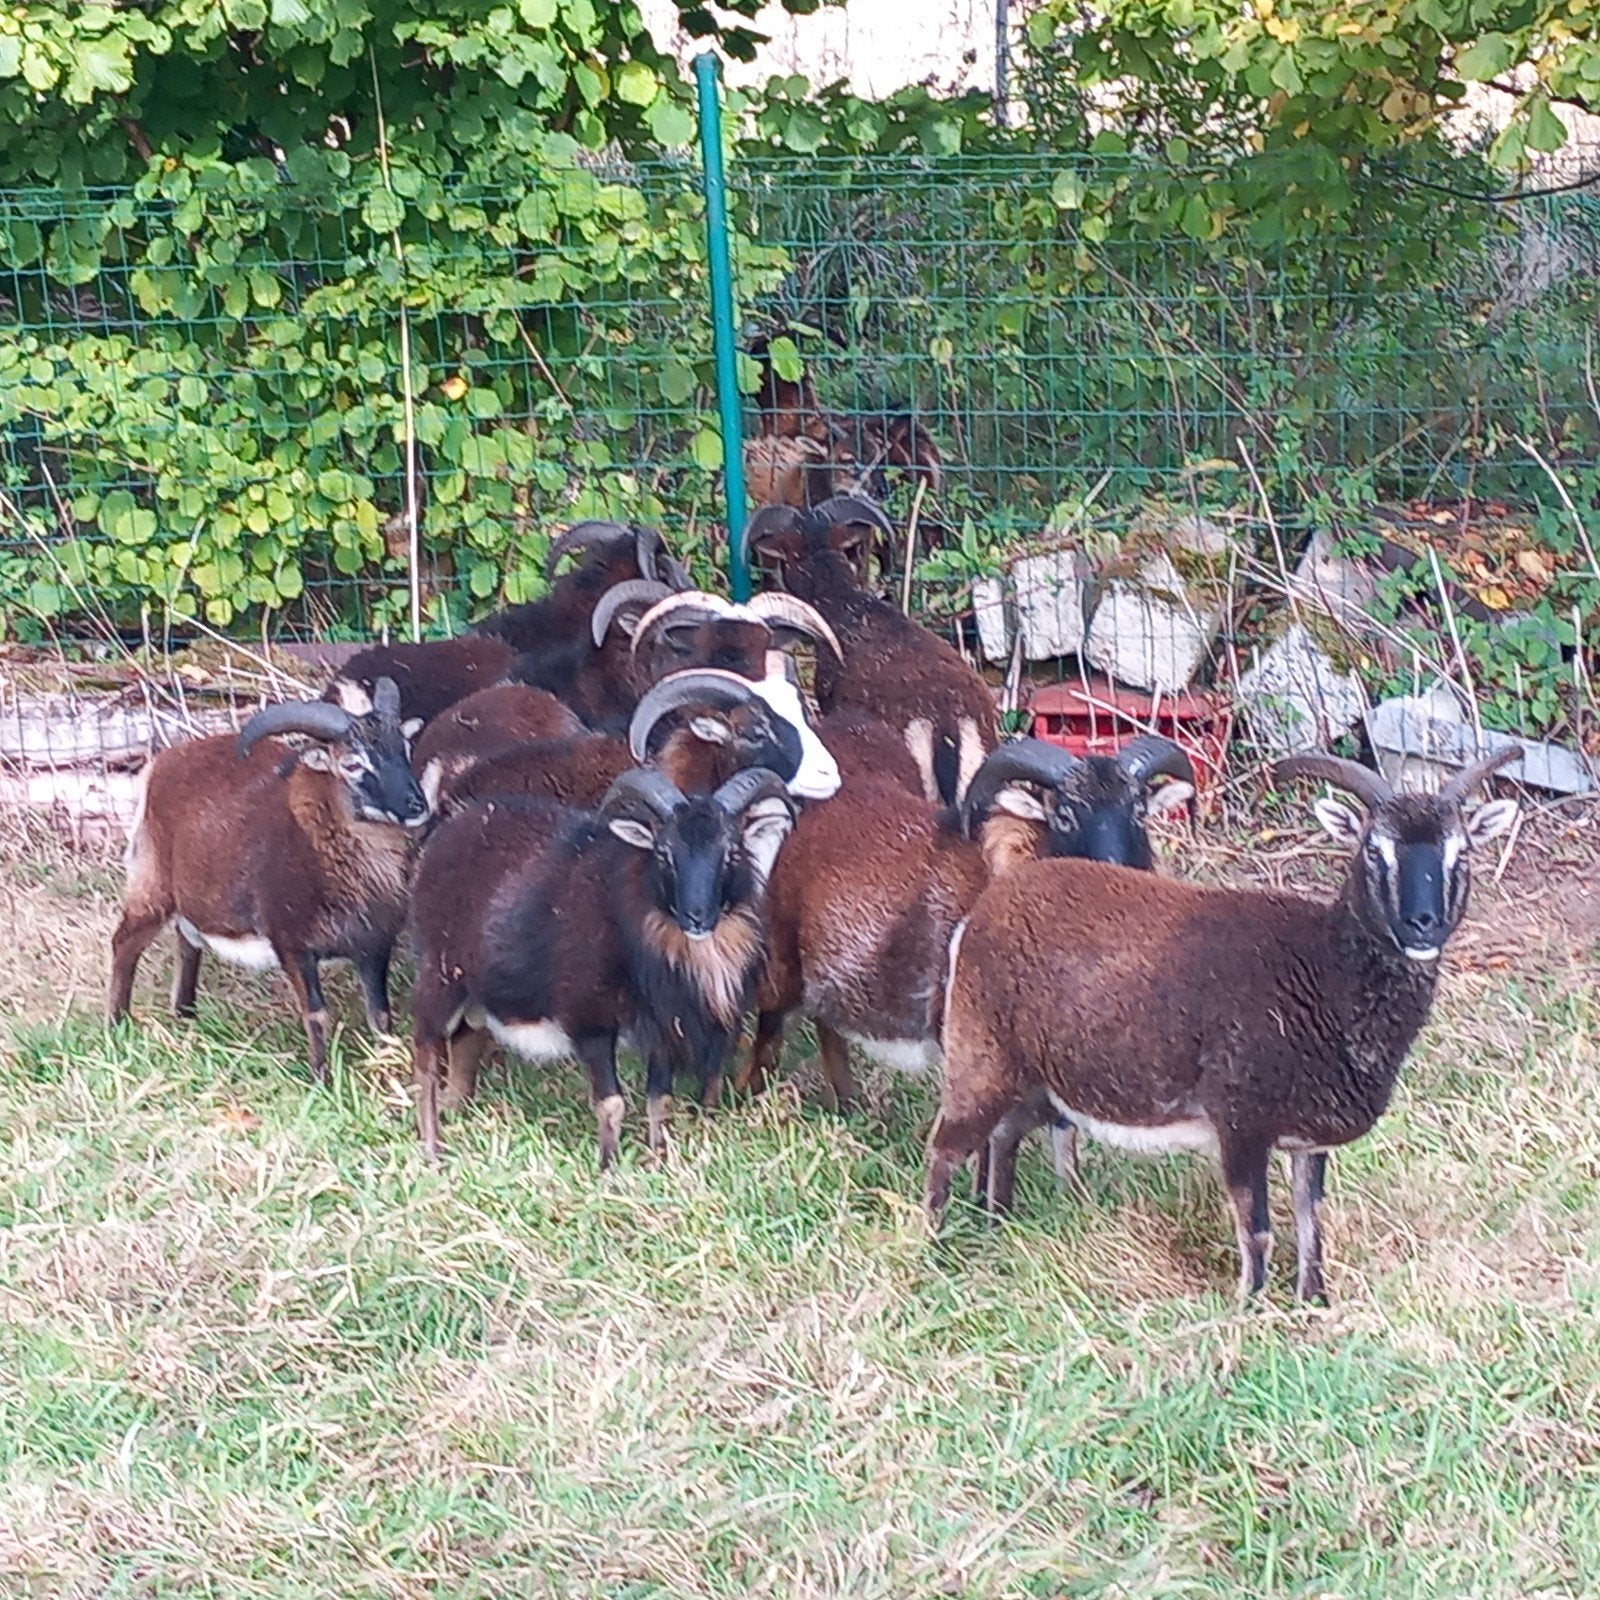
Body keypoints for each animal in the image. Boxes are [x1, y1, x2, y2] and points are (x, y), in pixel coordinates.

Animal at [108, 678, 430, 1083]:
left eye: (404, 747)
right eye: (352, 764)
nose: (416, 805)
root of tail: (161, 763)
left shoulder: (373, 945)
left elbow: (381, 1016)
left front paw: (388, 1072)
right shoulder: (292, 943)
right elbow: (316, 1013)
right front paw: (322, 1080)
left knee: (188, 942)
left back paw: (185, 1014)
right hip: (152, 885)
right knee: (125, 944)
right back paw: (117, 1024)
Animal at [409, 767, 795, 1167]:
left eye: (732, 853)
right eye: (664, 853)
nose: (697, 917)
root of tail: (445, 834)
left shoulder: (662, 1032)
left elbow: (660, 1101)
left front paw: (658, 1160)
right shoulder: (590, 1022)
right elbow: (611, 1104)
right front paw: (609, 1168)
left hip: (475, 995)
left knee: (464, 1042)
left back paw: (455, 1114)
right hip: (440, 975)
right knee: (426, 1055)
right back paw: (432, 1149)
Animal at [740, 734, 1196, 1111]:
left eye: (1138, 811)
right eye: (1065, 815)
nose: (1116, 872)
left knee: (826, 1021)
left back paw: (847, 1105)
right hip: (780, 954)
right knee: (769, 1026)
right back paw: (743, 1096)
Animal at [927, 749, 1520, 1304]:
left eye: (1461, 851)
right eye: (1374, 850)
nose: (1423, 925)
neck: (1322, 970)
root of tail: (986, 910)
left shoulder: (1308, 1139)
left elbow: (1310, 1220)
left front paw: (1313, 1299)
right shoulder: (1240, 1122)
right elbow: (1256, 1228)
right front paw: (1251, 1307)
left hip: (1034, 1080)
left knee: (1002, 1135)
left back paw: (998, 1221)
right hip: (979, 1052)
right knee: (946, 1149)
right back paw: (935, 1249)